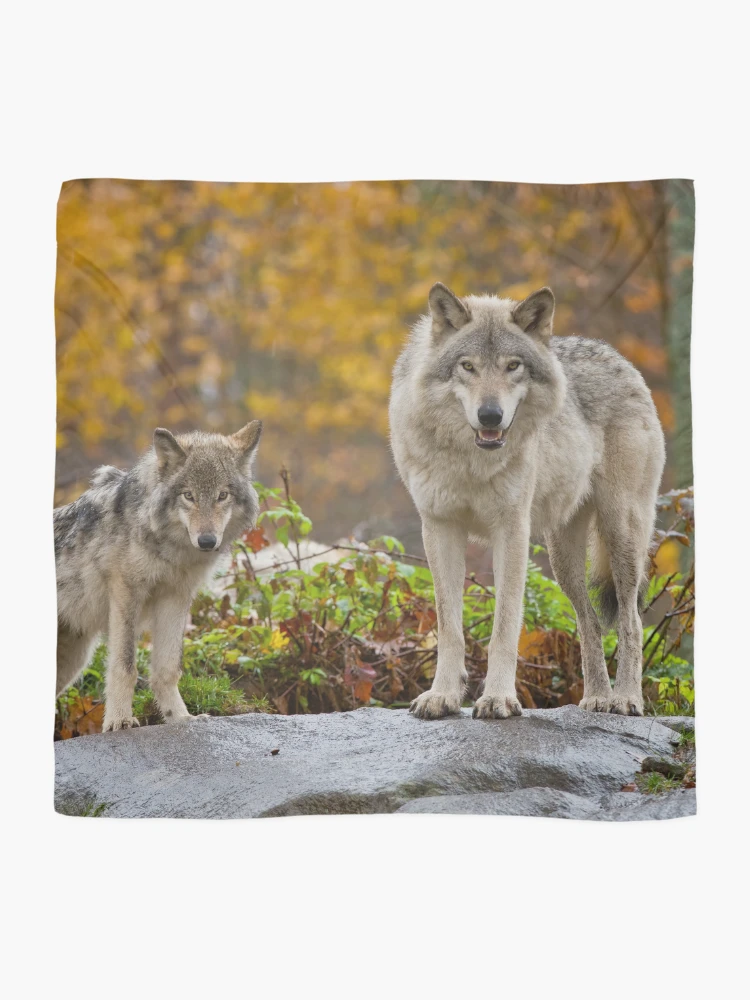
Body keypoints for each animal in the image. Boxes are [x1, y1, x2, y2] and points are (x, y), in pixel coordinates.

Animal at [54, 421, 262, 731]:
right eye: (188, 495)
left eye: (222, 495)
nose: (207, 541)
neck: (171, 550)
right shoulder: (126, 591)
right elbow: (125, 666)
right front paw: (119, 720)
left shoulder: (175, 597)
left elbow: (167, 669)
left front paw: (180, 717)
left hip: (71, 663)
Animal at [389, 283, 665, 719]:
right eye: (467, 366)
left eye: (513, 366)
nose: (490, 415)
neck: (471, 461)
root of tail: (618, 356)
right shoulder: (439, 528)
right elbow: (449, 627)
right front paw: (443, 696)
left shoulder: (512, 531)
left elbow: (505, 626)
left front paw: (498, 699)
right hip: (563, 560)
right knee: (588, 621)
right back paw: (596, 699)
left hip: (621, 534)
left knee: (631, 619)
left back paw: (625, 699)